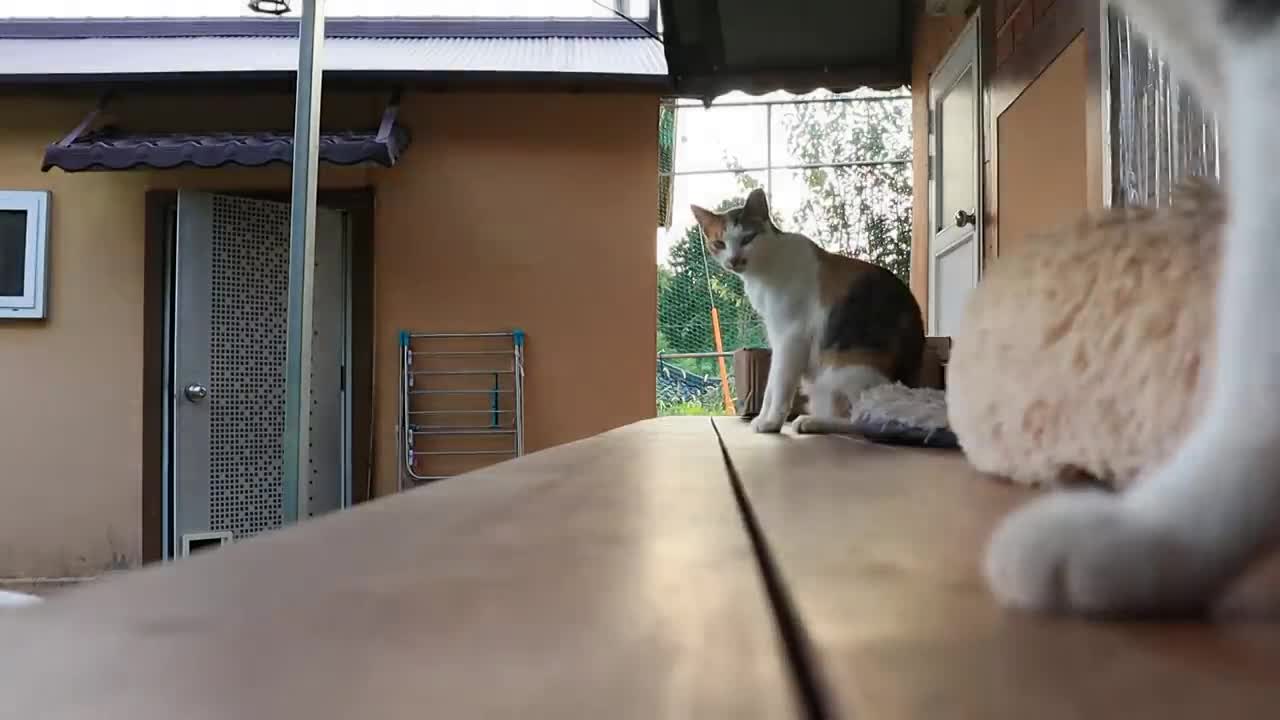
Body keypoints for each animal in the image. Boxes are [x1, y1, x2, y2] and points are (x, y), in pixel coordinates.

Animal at [691, 185, 921, 430]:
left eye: (747, 238)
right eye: (719, 244)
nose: (734, 260)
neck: (763, 270)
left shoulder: (792, 335)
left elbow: (781, 384)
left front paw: (772, 422)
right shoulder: (777, 335)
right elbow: (771, 385)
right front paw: (763, 417)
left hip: (844, 371)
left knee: (862, 420)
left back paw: (812, 422)